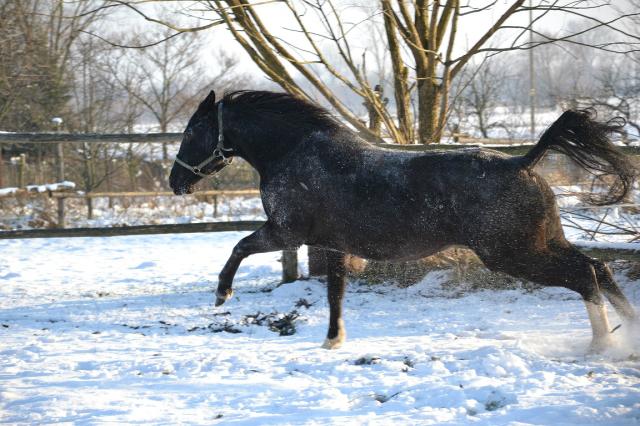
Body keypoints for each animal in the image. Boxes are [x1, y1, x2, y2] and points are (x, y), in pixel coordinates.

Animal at [169, 90, 636, 352]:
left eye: (192, 131)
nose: (175, 182)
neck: (294, 153)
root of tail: (522, 161)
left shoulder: (287, 233)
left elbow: (239, 247)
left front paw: (222, 295)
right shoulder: (332, 245)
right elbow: (335, 293)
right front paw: (333, 340)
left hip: (514, 254)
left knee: (584, 276)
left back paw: (602, 346)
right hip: (541, 243)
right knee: (599, 267)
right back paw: (627, 336)